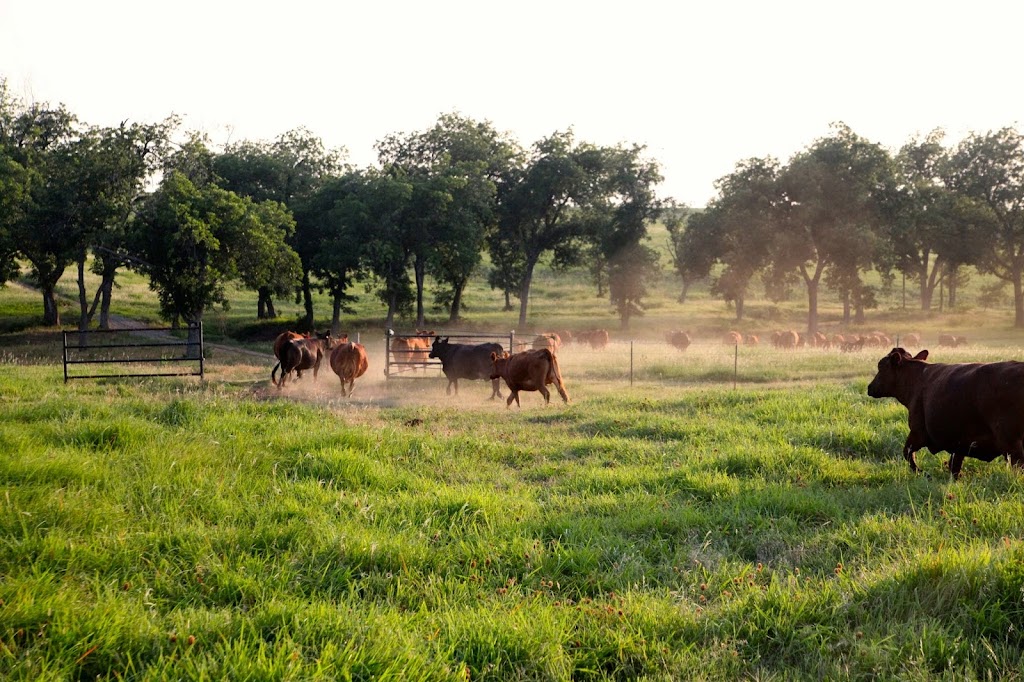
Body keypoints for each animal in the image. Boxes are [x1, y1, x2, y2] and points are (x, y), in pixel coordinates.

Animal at [868, 346, 1024, 477]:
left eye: (881, 367)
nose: (869, 387)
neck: (916, 379)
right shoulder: (960, 442)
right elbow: (954, 465)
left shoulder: (918, 431)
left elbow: (907, 452)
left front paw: (920, 472)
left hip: (1010, 442)